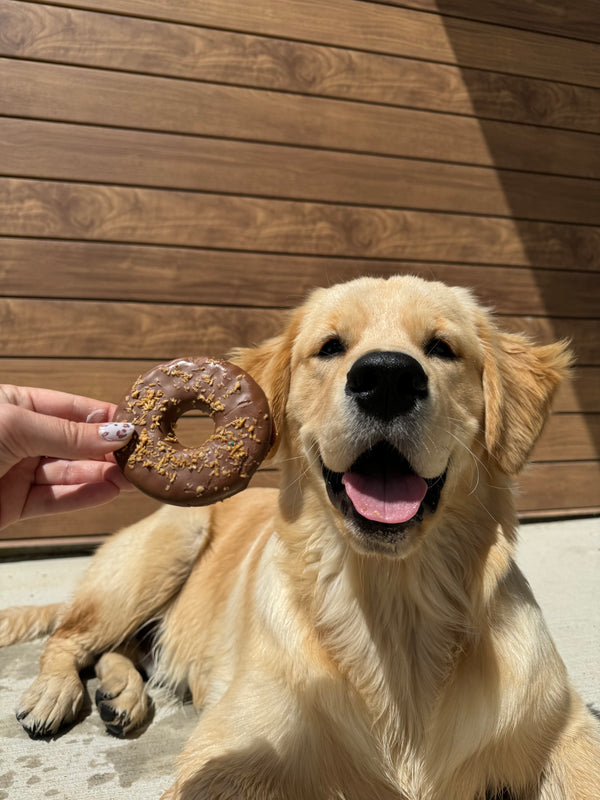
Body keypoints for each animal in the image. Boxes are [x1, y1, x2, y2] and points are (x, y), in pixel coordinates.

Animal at [1, 274, 600, 792]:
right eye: (330, 347)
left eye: (442, 347)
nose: (387, 378)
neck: (392, 609)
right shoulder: (229, 753)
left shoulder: (565, 728)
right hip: (167, 546)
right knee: (69, 637)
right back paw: (54, 693)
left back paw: (120, 693)